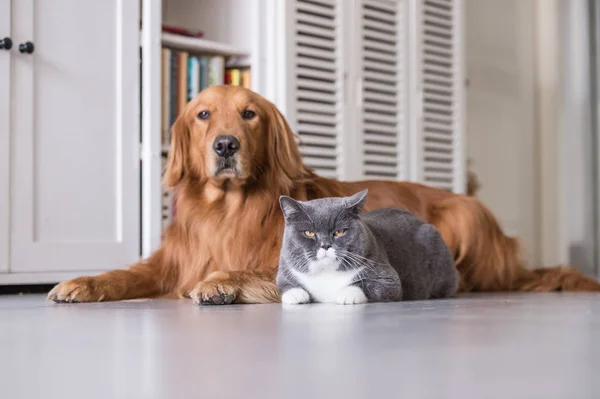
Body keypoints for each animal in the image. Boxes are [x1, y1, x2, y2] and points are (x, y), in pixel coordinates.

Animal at [276, 189, 460, 304]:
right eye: (309, 233)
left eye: (339, 232)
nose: (325, 245)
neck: (326, 274)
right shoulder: (285, 270)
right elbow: (284, 285)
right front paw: (295, 296)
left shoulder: (388, 278)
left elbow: (369, 285)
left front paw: (347, 295)